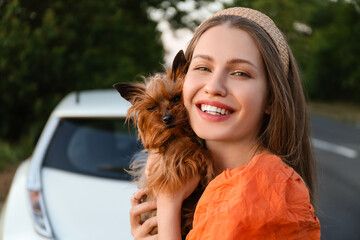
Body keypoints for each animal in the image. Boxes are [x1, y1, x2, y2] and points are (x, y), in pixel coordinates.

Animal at [114, 50, 214, 238]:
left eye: (175, 98)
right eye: (151, 108)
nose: (167, 119)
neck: (179, 133)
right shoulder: (168, 164)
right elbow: (184, 151)